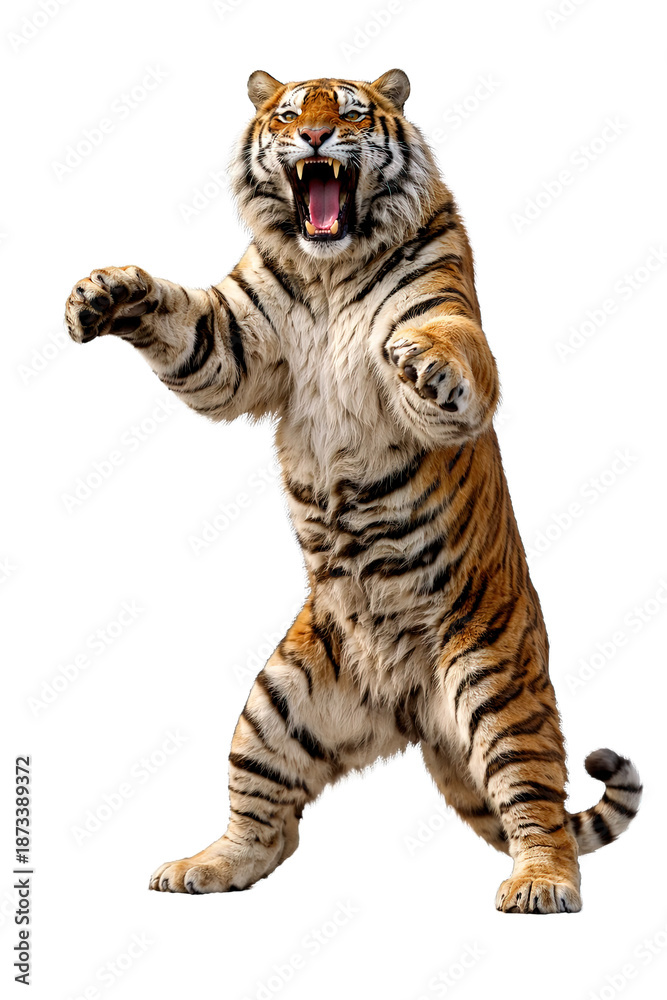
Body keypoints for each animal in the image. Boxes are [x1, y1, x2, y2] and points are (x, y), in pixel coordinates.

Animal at [64, 69, 641, 913]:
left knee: (538, 805)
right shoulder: (233, 346)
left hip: (496, 686)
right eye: (285, 114)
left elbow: (448, 347)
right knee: (269, 826)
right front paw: (104, 291)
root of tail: (414, 715)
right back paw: (201, 867)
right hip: (274, 704)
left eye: (349, 111)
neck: (328, 265)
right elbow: (182, 318)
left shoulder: (443, 306)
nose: (310, 137)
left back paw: (538, 884)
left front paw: (425, 364)